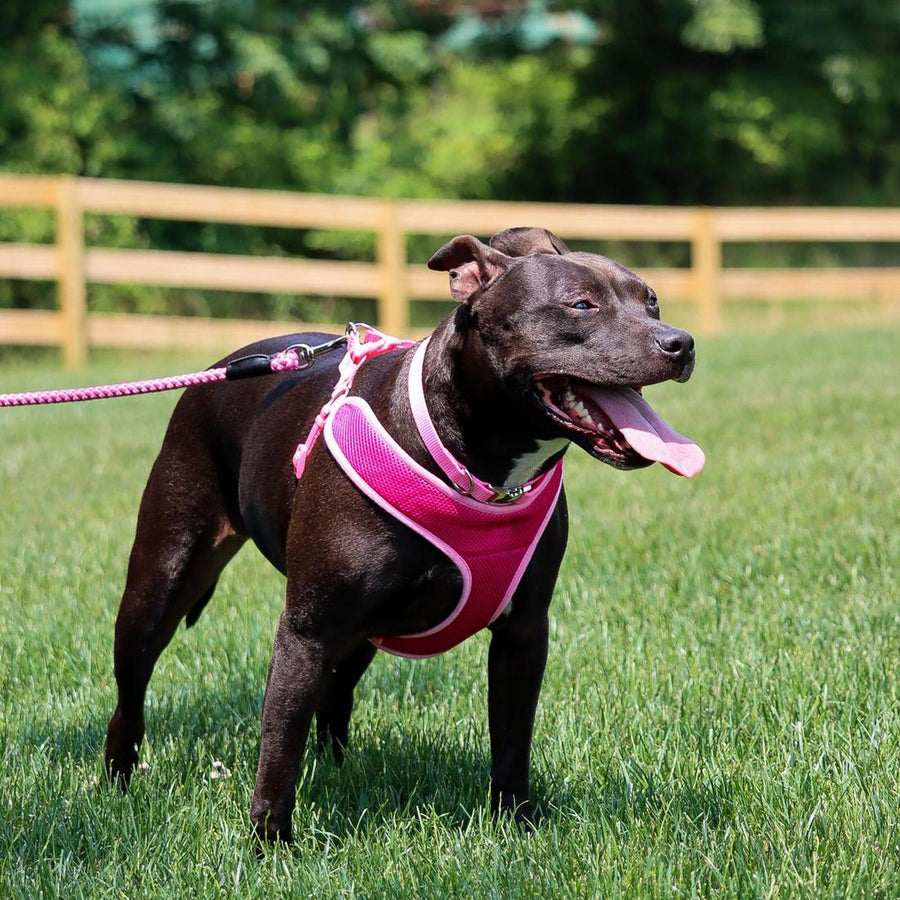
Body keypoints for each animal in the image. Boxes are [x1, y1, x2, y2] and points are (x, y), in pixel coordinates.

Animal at [103, 227, 704, 844]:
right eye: (581, 304)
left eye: (652, 302)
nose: (680, 343)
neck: (470, 467)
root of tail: (226, 366)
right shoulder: (307, 631)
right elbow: (279, 746)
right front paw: (270, 845)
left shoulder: (523, 633)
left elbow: (512, 741)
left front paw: (516, 826)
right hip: (162, 581)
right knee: (131, 696)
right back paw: (119, 786)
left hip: (364, 630)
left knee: (336, 699)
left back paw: (339, 771)